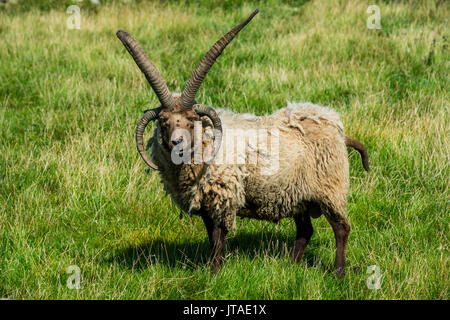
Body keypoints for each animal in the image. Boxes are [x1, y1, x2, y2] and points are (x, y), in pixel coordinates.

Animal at [117, 8, 370, 276]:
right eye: (163, 121)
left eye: (192, 120)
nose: (178, 144)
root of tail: (337, 127)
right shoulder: (207, 203)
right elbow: (211, 237)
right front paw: (213, 269)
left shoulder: (224, 198)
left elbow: (218, 238)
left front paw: (215, 273)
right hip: (297, 194)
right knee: (305, 230)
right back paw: (291, 266)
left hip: (330, 189)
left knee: (341, 228)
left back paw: (338, 272)